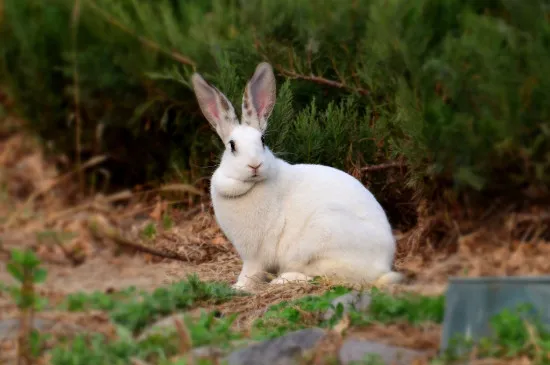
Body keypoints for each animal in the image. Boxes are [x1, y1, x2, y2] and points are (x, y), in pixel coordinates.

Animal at [192, 62, 404, 290]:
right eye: (232, 146)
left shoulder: (254, 256)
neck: (249, 185)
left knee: (330, 276)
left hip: (323, 236)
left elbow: (249, 273)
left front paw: (238, 288)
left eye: (262, 141)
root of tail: (383, 266)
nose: (255, 164)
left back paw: (284, 279)